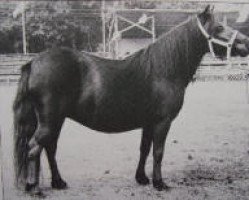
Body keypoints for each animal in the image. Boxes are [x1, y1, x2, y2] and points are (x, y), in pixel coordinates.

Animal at [12, 5, 249, 195]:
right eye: (219, 28)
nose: (245, 42)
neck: (163, 70)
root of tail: (34, 62)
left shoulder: (149, 123)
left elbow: (144, 149)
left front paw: (142, 178)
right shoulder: (162, 122)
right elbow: (158, 152)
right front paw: (159, 183)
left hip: (56, 120)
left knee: (49, 148)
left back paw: (58, 182)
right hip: (50, 121)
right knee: (33, 148)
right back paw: (34, 188)